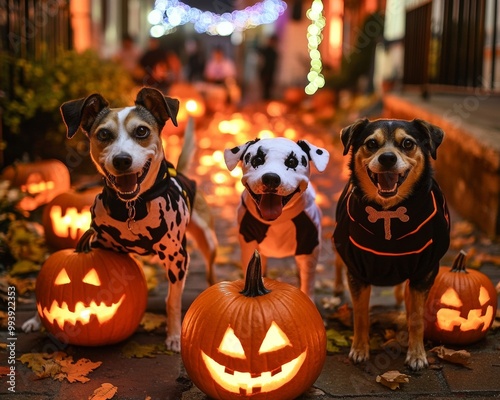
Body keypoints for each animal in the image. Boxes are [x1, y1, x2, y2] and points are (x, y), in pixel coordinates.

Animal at [23, 86, 216, 350]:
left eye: (142, 131)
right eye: (104, 134)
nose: (122, 160)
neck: (133, 207)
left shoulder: (177, 258)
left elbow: (172, 301)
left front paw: (175, 336)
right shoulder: (100, 241)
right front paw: (36, 319)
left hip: (208, 238)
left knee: (210, 270)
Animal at [334, 117, 452, 370]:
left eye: (407, 143)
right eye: (371, 143)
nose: (387, 158)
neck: (388, 212)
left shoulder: (424, 271)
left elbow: (417, 318)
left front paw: (417, 355)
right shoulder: (357, 270)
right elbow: (360, 315)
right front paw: (359, 349)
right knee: (338, 263)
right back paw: (337, 287)